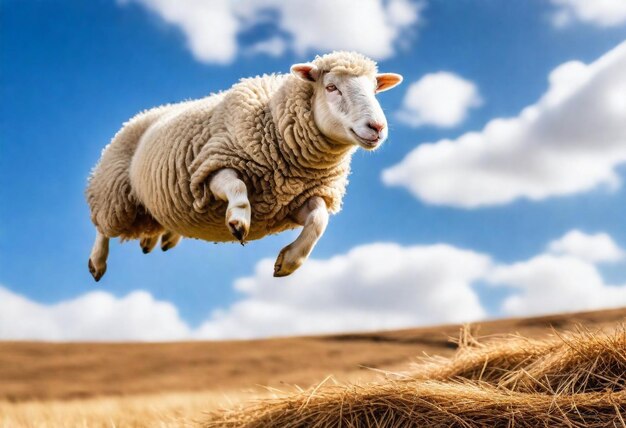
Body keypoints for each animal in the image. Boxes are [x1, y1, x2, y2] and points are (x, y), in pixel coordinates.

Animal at [85, 51, 402, 280]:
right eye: (332, 87)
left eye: (375, 90)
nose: (377, 127)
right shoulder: (211, 166)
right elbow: (237, 186)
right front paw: (238, 221)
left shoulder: (293, 200)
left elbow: (318, 222)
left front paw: (288, 262)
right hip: (113, 190)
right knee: (102, 228)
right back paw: (97, 263)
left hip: (154, 202)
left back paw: (159, 239)